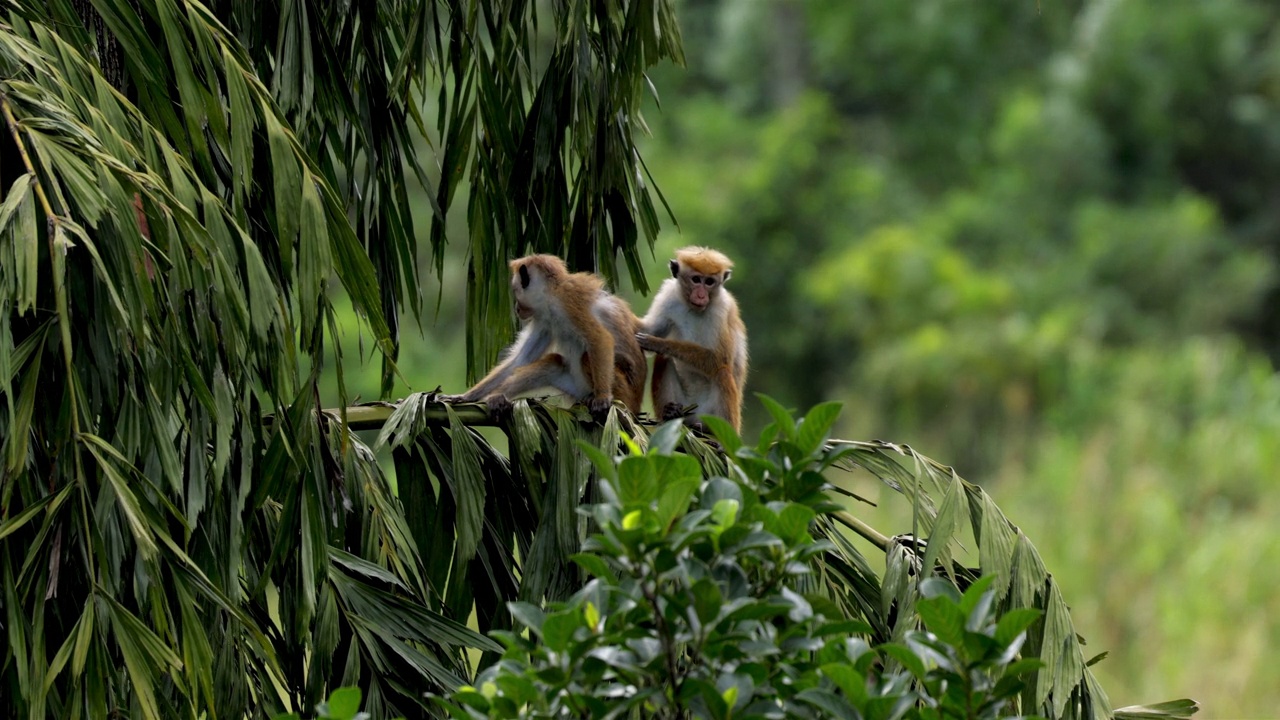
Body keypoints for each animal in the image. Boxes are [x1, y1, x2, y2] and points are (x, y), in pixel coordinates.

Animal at [445, 253, 645, 412]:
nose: (517, 308)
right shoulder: (544, 318)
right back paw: (498, 397)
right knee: (552, 364)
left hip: (622, 392)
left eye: (516, 291)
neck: (551, 295)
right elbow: (521, 360)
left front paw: (603, 397)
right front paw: (468, 396)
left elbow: (599, 339)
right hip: (575, 386)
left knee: (586, 358)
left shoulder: (568, 300)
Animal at [634, 243, 747, 427]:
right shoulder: (668, 296)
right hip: (685, 405)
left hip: (711, 414)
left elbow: (719, 358)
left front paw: (658, 343)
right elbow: (648, 329)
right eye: (696, 280)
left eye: (709, 282)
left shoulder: (722, 309)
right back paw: (670, 413)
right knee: (662, 360)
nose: (701, 295)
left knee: (722, 372)